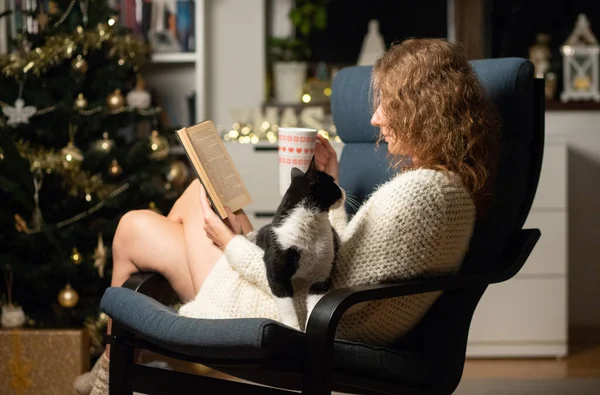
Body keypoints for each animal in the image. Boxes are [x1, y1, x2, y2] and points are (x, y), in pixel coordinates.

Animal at [255, 156, 344, 330]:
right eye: (332, 182)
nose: (343, 190)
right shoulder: (276, 268)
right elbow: (286, 304)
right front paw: (294, 328)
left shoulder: (323, 272)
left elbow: (317, 303)